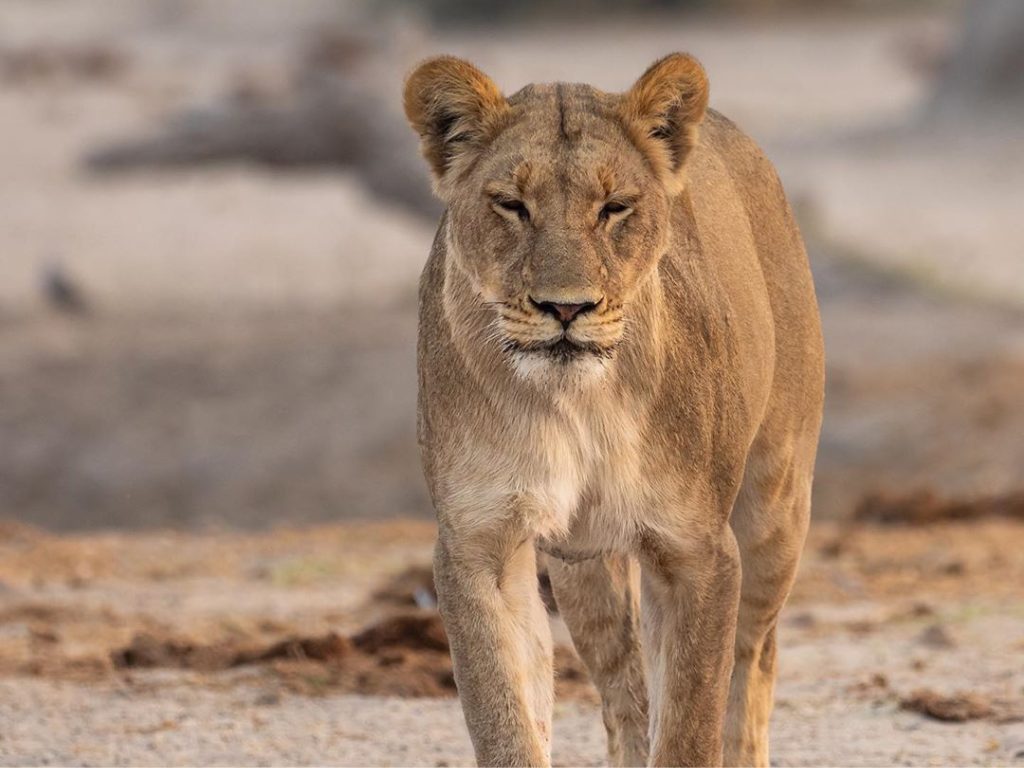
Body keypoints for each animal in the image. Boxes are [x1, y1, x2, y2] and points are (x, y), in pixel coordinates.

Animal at [403, 52, 824, 767]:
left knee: (754, 657)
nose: (566, 307)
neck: (575, 403)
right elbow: (506, 715)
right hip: (585, 569)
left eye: (615, 207)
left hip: (776, 508)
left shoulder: (696, 549)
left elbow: (690, 726)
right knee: (626, 691)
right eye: (512, 205)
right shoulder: (480, 541)